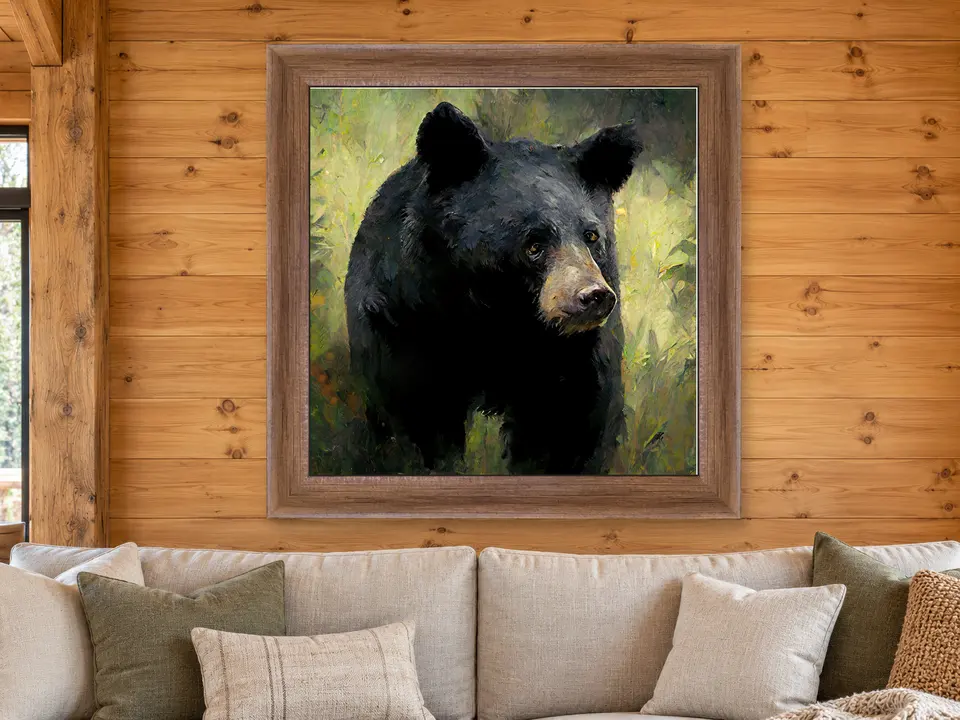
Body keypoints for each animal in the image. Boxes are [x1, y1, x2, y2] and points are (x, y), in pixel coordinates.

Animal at [344, 101, 643, 475]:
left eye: (591, 235)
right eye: (534, 244)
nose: (593, 296)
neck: (498, 314)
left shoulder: (574, 354)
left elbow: (568, 422)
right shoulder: (404, 317)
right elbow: (416, 411)